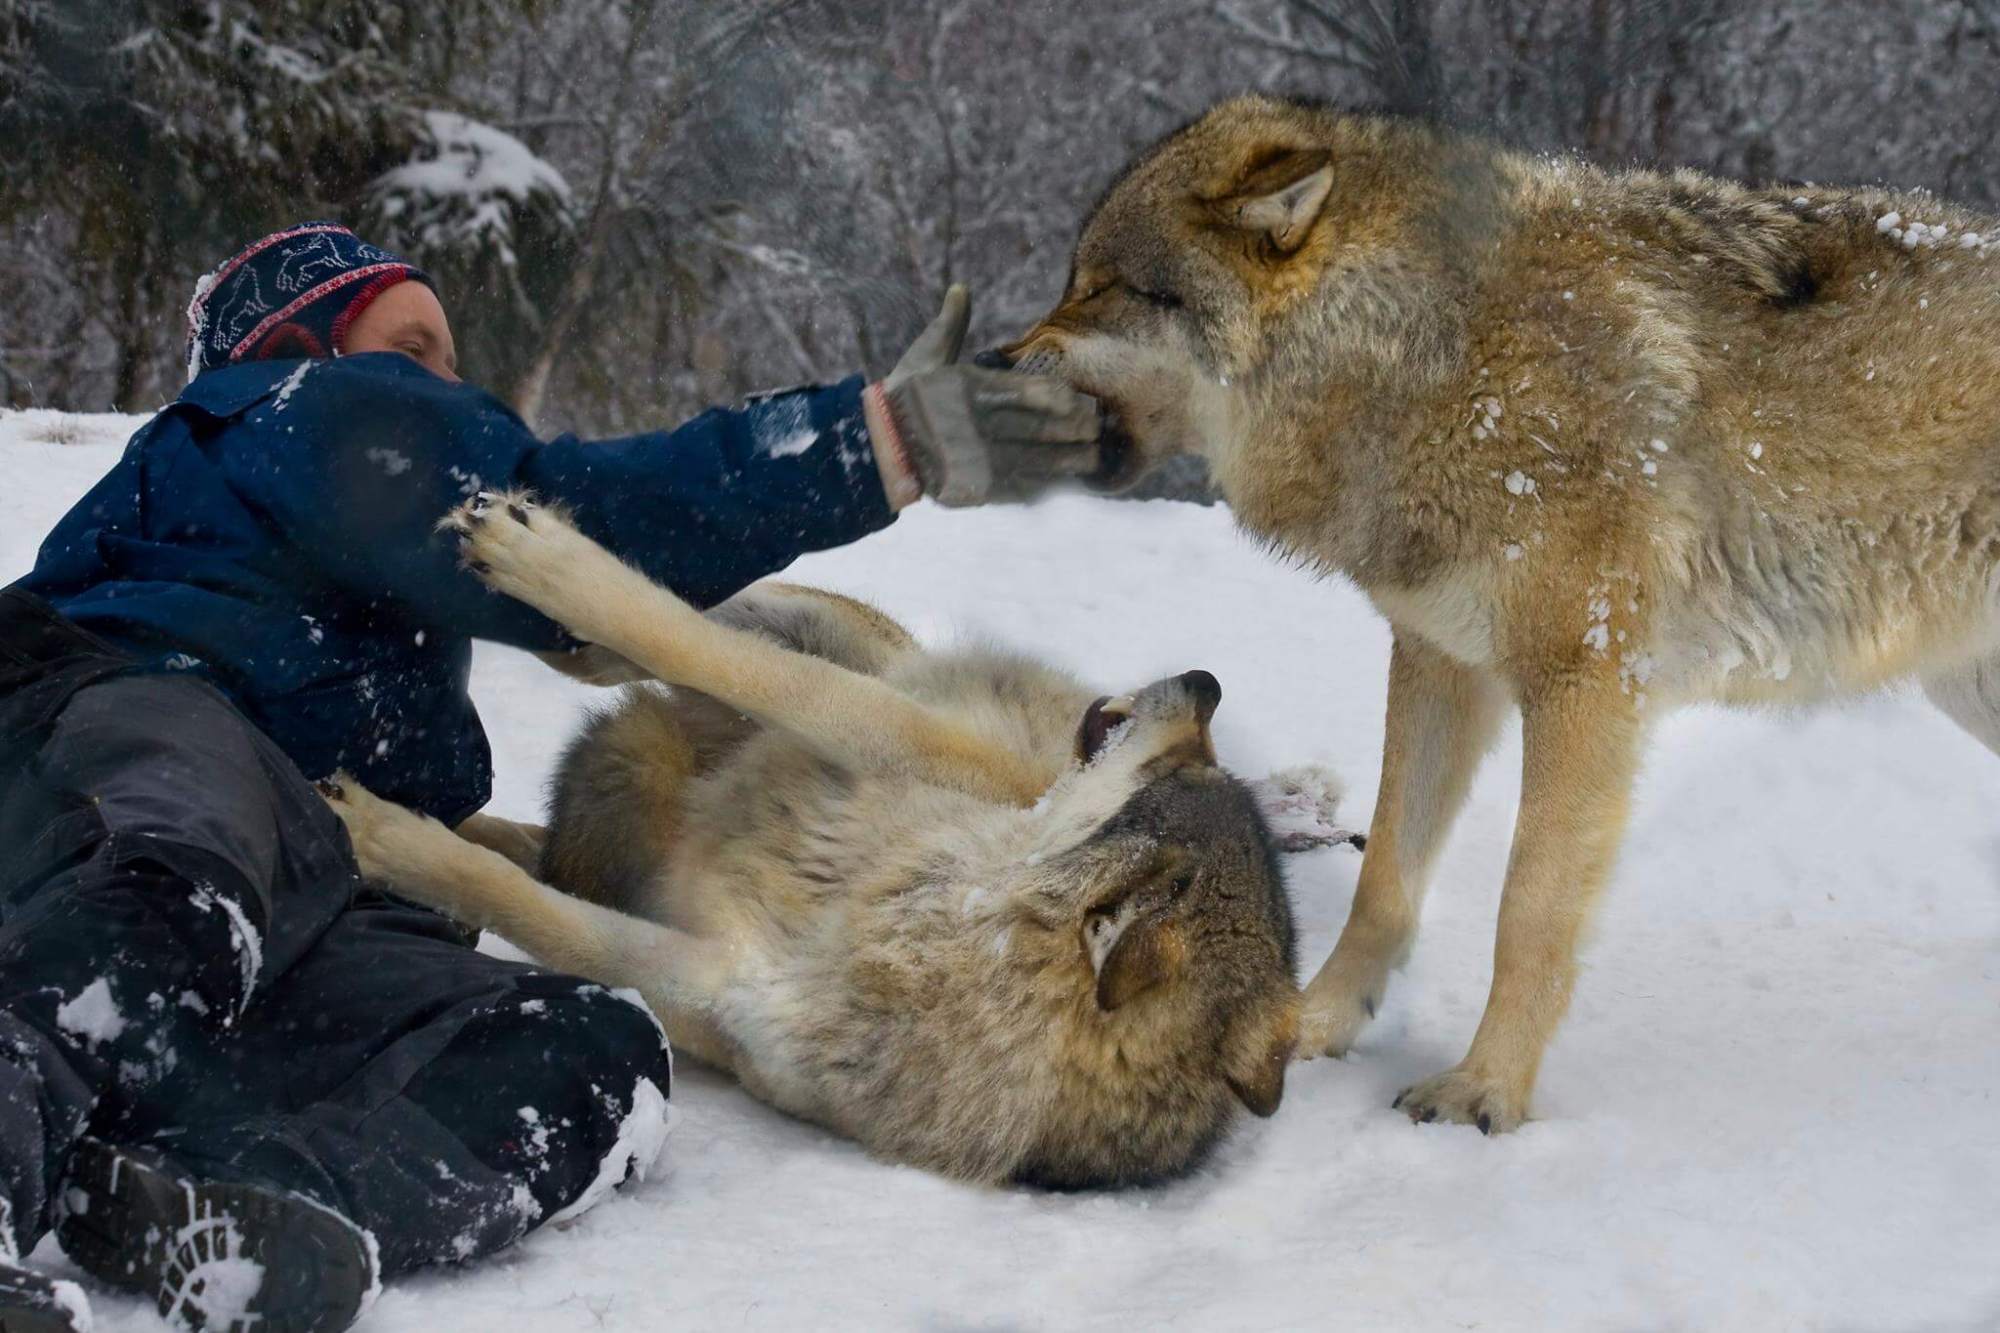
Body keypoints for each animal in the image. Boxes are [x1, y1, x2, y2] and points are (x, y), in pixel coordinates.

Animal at [324, 490, 1296, 1184]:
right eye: (1195, 766)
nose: (1207, 682)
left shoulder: (714, 983)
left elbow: (528, 906)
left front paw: (381, 837)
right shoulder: (876, 723)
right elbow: (713, 651)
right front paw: (551, 567)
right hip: (849, 649)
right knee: (694, 619)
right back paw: (536, 558)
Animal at [1008, 96, 2000, 1128]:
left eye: (1104, 288)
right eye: (1075, 282)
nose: (998, 359)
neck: (1430, 354)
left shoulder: (1586, 685)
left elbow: (1528, 911)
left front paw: (1486, 1092)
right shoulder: (1437, 659)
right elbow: (1384, 880)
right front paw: (1312, 1026)